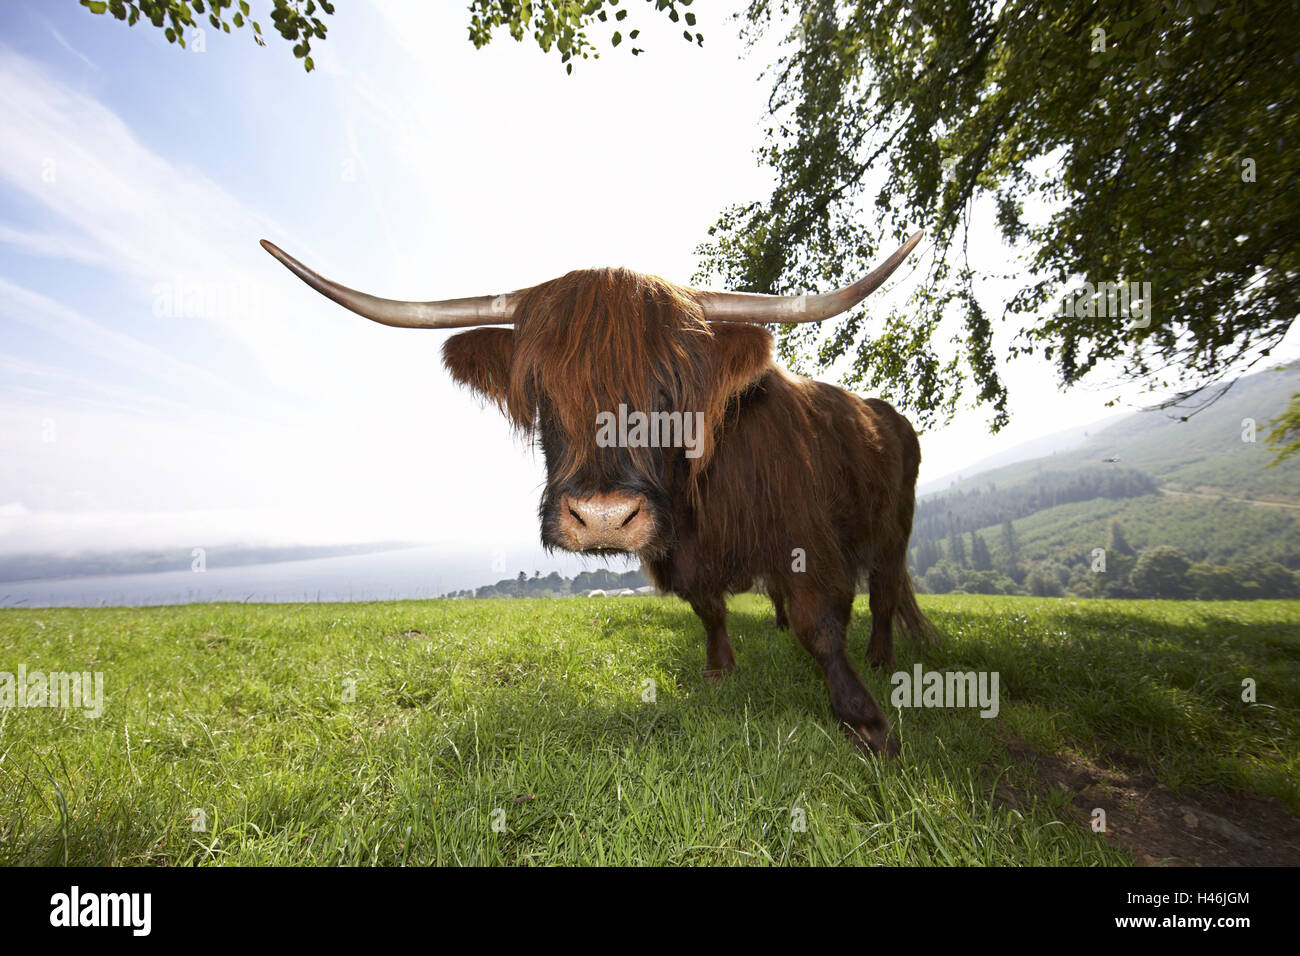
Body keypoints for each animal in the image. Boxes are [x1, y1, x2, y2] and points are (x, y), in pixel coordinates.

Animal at [261, 233, 937, 756]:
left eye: (670, 390)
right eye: (541, 390)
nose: (605, 518)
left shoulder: (804, 538)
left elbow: (817, 622)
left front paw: (868, 723)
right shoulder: (682, 553)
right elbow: (710, 609)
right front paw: (720, 670)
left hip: (894, 529)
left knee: (882, 593)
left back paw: (881, 659)